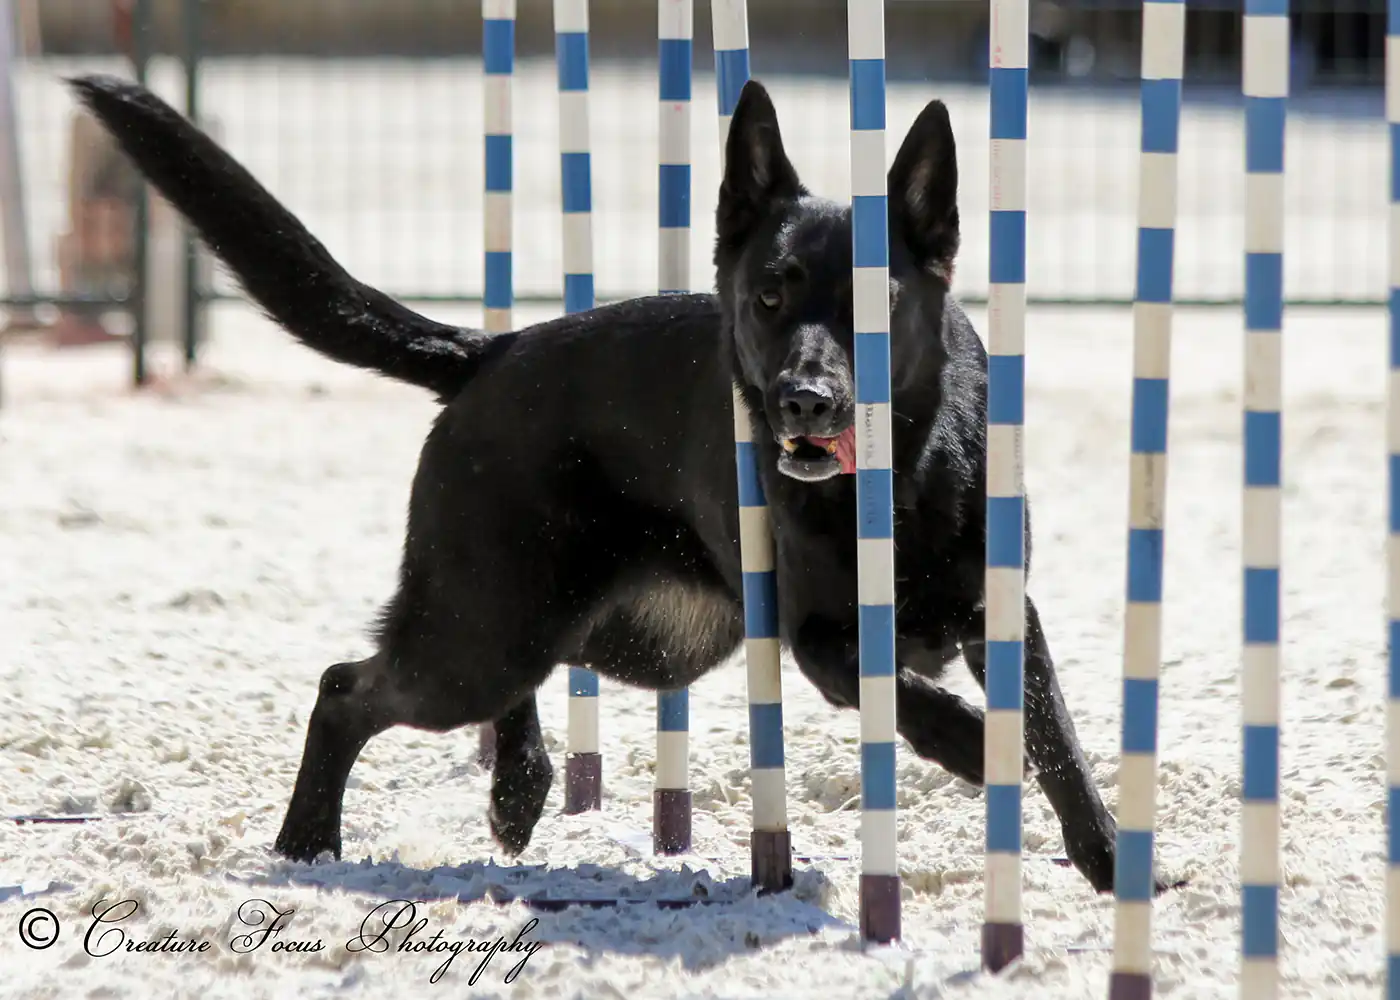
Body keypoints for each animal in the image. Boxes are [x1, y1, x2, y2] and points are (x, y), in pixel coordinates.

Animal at [71, 73, 1153, 890]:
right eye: (768, 297)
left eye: (870, 309)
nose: (803, 401)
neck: (898, 477)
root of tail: (490, 352)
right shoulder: (815, 640)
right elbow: (912, 697)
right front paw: (973, 744)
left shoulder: (1004, 613)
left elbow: (1058, 739)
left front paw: (1109, 860)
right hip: (488, 630)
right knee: (348, 688)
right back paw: (310, 844)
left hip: (588, 627)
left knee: (499, 687)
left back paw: (515, 789)